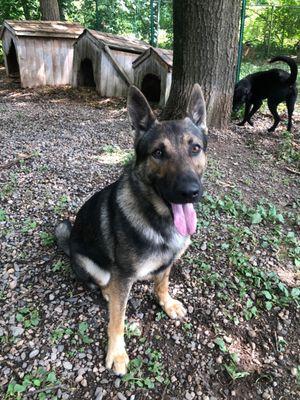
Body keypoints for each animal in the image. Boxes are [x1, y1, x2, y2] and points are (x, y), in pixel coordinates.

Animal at [55, 84, 207, 376]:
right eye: (158, 153)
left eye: (195, 148)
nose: (190, 192)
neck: (159, 219)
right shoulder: (123, 276)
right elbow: (118, 319)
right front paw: (116, 352)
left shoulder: (167, 263)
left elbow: (162, 283)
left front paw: (166, 302)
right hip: (94, 266)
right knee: (103, 284)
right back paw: (106, 291)